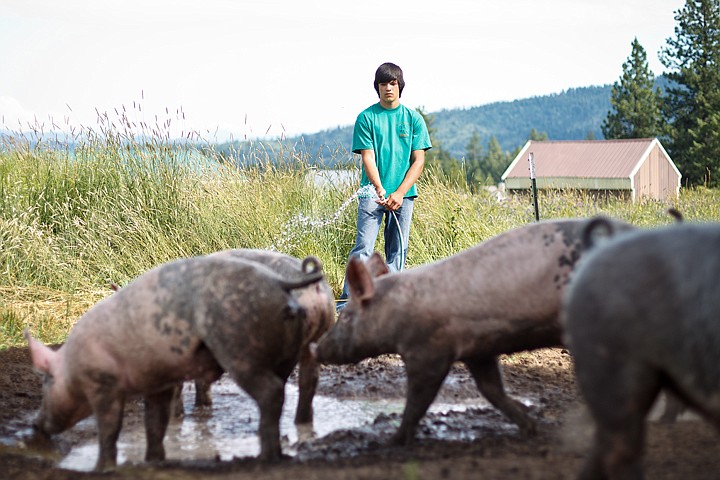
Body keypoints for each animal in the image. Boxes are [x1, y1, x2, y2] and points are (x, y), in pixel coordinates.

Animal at [25, 256, 324, 470]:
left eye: (45, 381)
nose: (35, 424)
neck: (71, 366)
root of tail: (279, 283)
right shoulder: (157, 383)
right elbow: (155, 422)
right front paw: (153, 461)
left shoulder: (103, 384)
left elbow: (110, 429)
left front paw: (102, 468)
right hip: (288, 349)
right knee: (289, 386)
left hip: (239, 346)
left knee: (271, 391)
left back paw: (265, 459)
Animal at [312, 218, 632, 446]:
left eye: (348, 316)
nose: (316, 348)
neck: (398, 309)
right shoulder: (478, 351)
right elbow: (490, 389)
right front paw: (530, 427)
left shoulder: (428, 351)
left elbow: (418, 399)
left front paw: (394, 440)